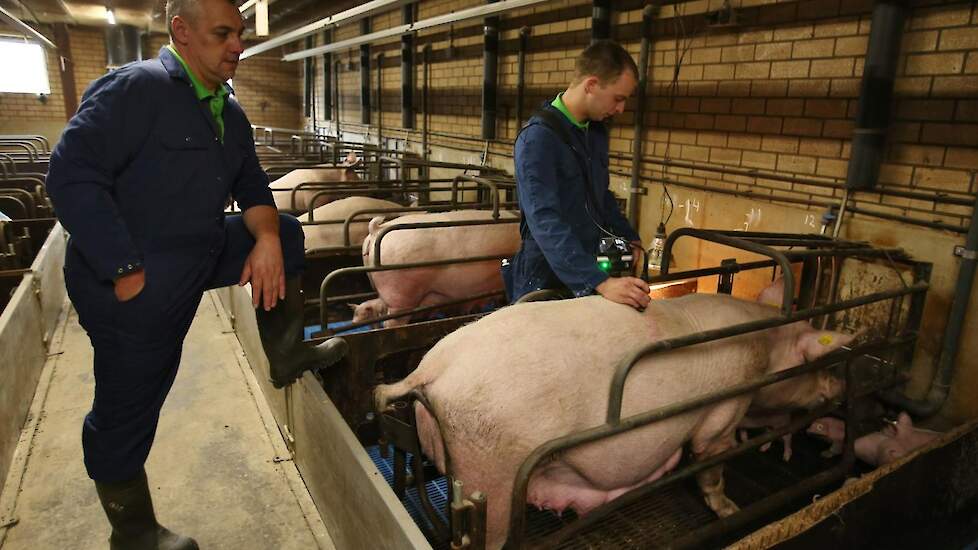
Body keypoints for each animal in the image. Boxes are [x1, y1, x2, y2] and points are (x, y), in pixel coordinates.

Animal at [372, 294, 848, 548]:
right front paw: (731, 509)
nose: (838, 386)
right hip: (490, 477)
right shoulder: (723, 413)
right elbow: (711, 465)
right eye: (816, 363)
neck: (766, 349)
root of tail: (429, 372)